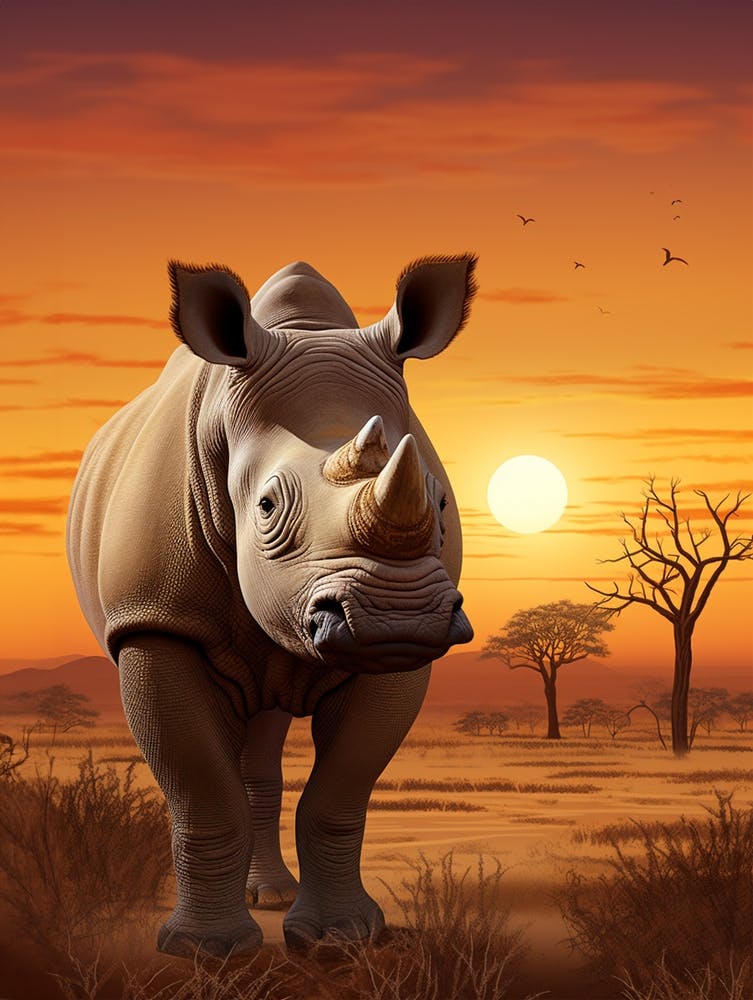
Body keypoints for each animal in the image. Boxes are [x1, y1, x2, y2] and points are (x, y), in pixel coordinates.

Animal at [66, 254, 477, 958]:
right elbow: (203, 792)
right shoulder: (153, 621)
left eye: (442, 500)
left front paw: (339, 939)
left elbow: (340, 793)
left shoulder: (406, 657)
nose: (395, 618)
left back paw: (272, 898)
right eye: (265, 507)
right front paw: (206, 953)